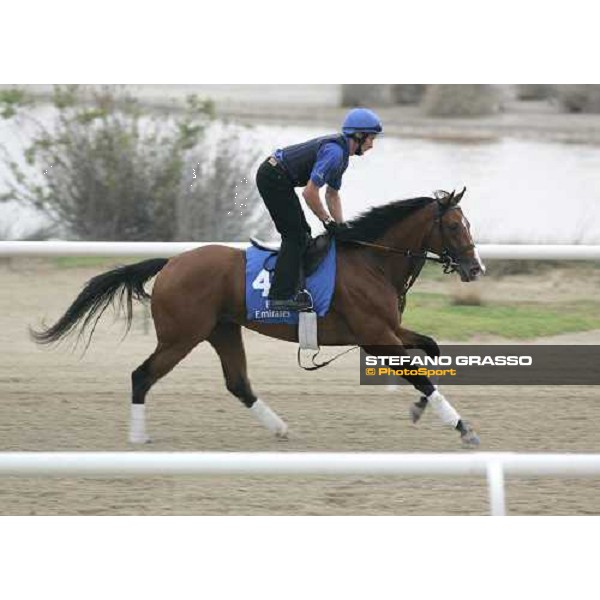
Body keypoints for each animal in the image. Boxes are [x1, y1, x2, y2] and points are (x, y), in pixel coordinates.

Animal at [32, 188, 486, 446]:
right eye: (454, 225)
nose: (475, 267)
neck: (372, 261)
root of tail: (172, 262)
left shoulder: (387, 329)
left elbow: (430, 350)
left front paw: (419, 409)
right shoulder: (374, 333)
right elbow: (420, 374)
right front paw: (463, 427)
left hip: (222, 330)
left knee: (238, 383)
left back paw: (280, 428)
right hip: (181, 336)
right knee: (142, 376)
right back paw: (138, 436)